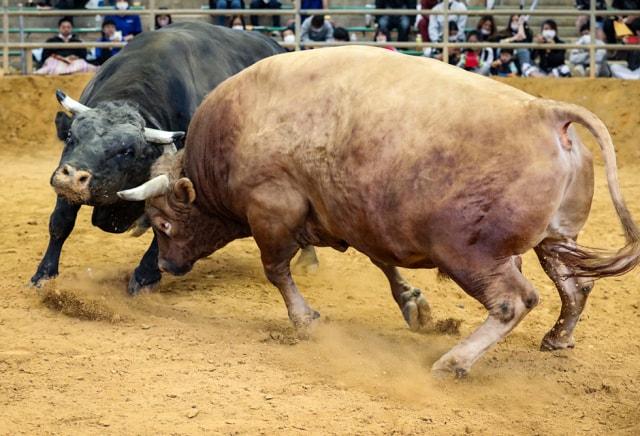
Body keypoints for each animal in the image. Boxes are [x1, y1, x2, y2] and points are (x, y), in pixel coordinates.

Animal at [31, 21, 286, 292]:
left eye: (127, 151)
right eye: (71, 136)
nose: (72, 178)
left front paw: (145, 277)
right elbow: (61, 222)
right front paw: (44, 274)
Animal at [119, 46, 640, 374]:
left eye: (163, 223)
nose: (166, 264)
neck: (235, 135)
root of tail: (548, 114)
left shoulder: (272, 210)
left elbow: (277, 271)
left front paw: (304, 319)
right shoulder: (355, 217)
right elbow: (382, 262)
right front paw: (411, 302)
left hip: (473, 254)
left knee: (514, 301)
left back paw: (454, 362)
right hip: (557, 239)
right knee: (576, 286)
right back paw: (558, 337)